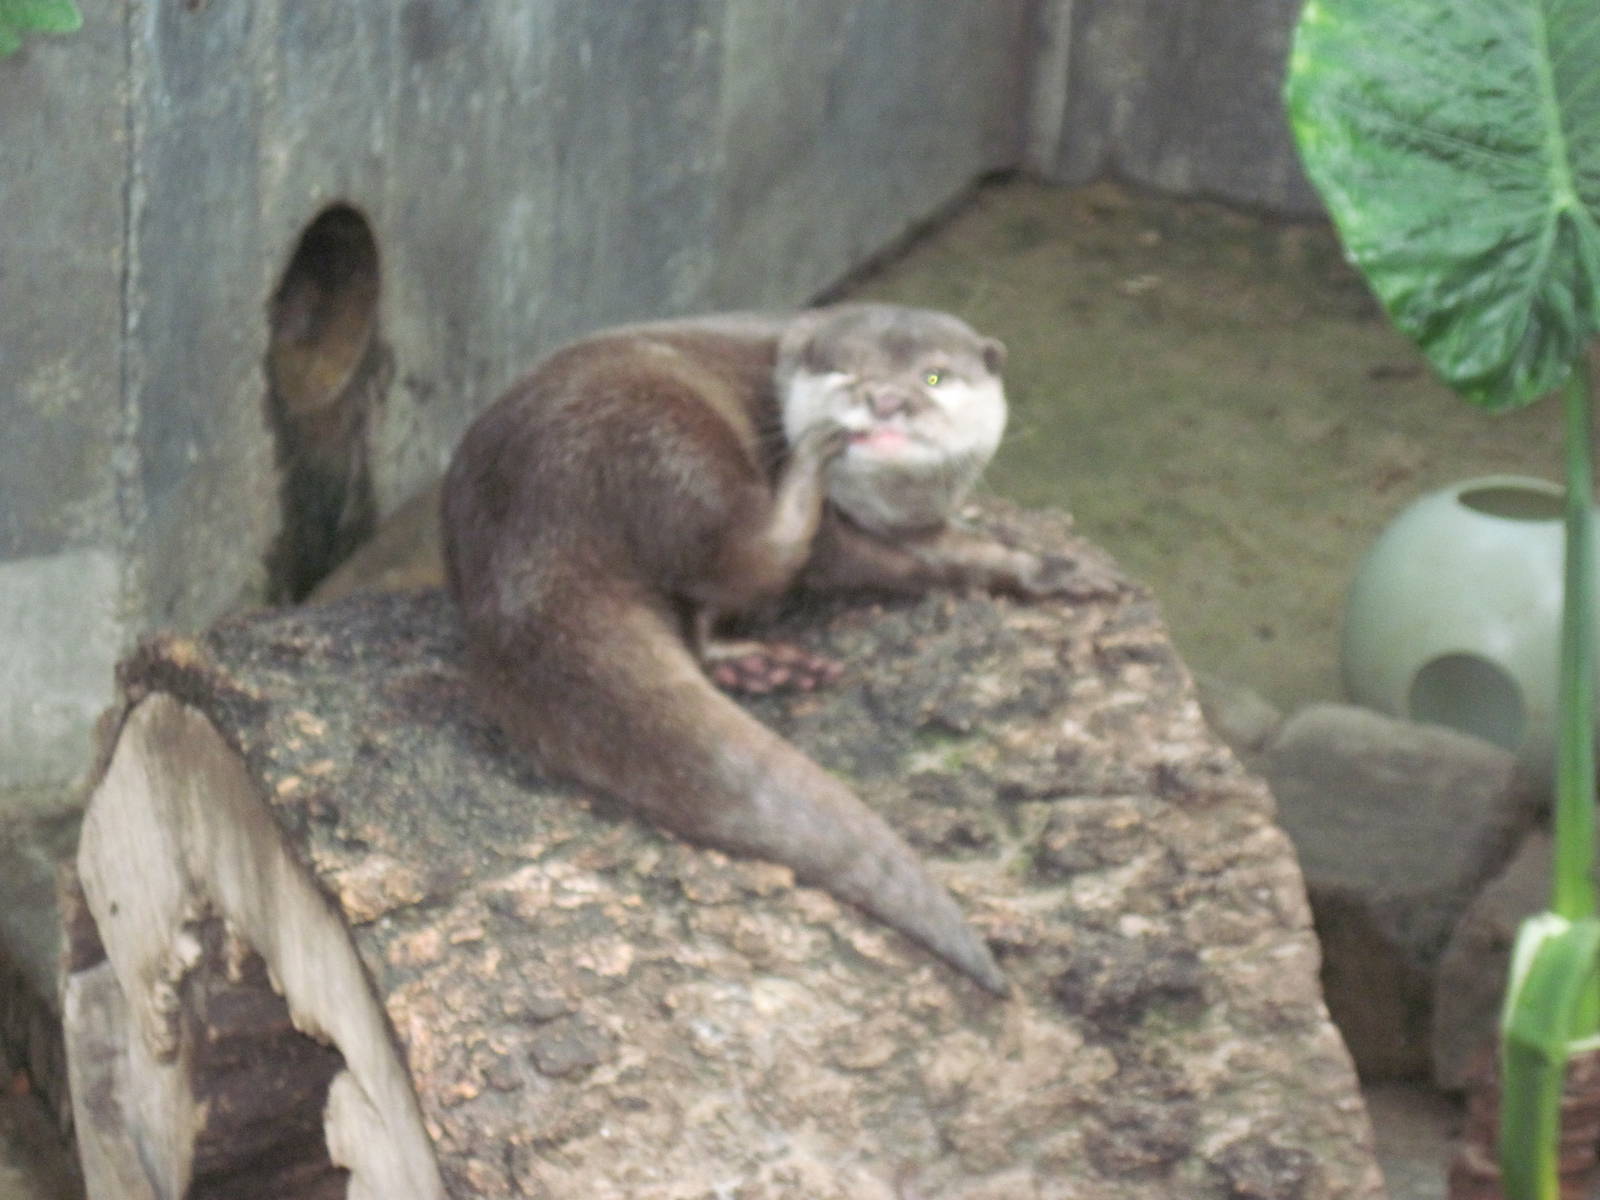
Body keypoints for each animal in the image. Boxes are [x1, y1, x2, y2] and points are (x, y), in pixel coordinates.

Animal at [443, 304, 1090, 994]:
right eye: (846, 370)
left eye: (935, 376)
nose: (885, 400)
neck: (892, 509)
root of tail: (521, 547)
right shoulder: (845, 535)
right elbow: (926, 559)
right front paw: (1040, 567)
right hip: (666, 438)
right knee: (741, 552)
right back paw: (805, 473)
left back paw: (754, 663)